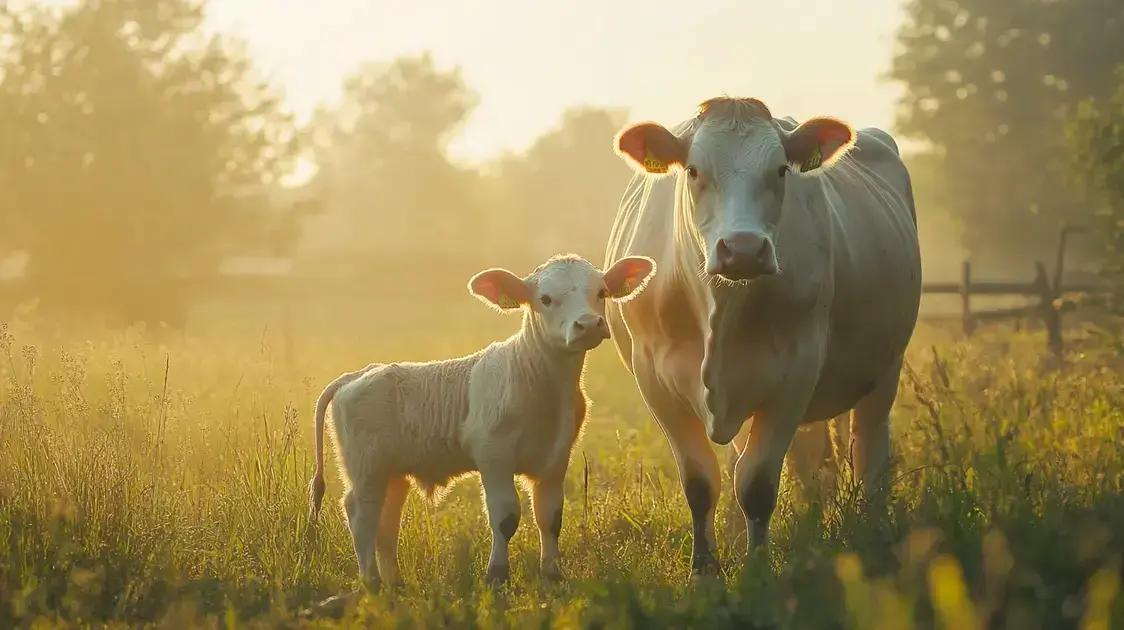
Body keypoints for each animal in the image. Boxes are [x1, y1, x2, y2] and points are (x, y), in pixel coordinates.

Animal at [307, 253, 656, 589]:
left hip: (391, 472)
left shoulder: (557, 457)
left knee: (386, 521)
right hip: (365, 467)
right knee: (361, 513)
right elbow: (505, 516)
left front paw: (553, 575)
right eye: (545, 298)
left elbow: (550, 516)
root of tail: (359, 374)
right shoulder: (493, 453)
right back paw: (372, 582)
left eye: (601, 292)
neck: (546, 388)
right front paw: (497, 575)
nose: (588, 324)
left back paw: (395, 583)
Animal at [606, 96, 921, 573]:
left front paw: (757, 570)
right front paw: (706, 570)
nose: (743, 250)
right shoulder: (654, 379)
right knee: (807, 462)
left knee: (869, 451)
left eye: (780, 170)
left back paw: (872, 528)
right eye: (693, 170)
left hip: (885, 366)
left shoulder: (795, 371)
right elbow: (701, 482)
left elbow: (756, 484)